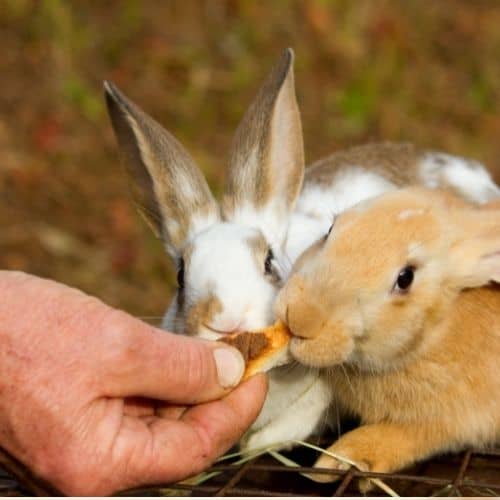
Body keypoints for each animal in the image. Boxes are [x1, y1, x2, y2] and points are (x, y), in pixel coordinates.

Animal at [276, 186, 500, 490]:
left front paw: (336, 461)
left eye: (405, 278)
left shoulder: (454, 421)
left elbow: (406, 436)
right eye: (329, 231)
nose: (298, 317)